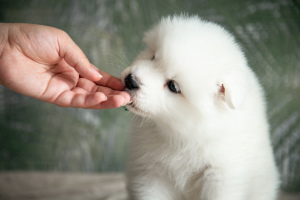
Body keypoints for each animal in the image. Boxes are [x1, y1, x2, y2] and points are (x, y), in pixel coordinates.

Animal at [120, 15, 280, 200]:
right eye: (153, 57)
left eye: (173, 86)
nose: (131, 80)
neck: (180, 133)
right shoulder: (151, 172)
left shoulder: (219, 176)